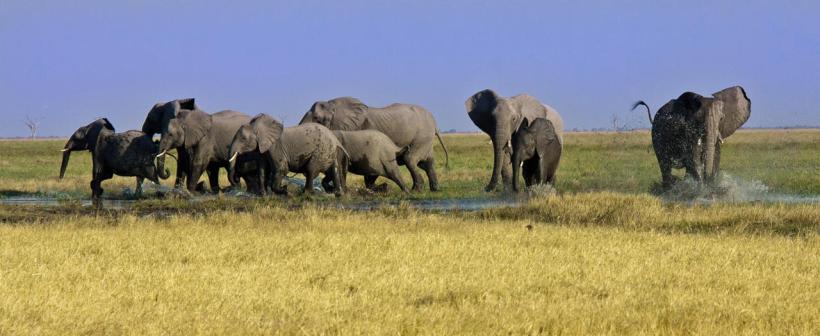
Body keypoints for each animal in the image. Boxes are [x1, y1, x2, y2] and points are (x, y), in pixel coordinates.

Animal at [298, 97, 448, 192]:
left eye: (317, 118)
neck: (332, 104)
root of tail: (435, 123)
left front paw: (381, 188)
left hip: (422, 137)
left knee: (410, 159)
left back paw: (417, 190)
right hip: (425, 140)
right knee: (427, 163)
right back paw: (435, 189)